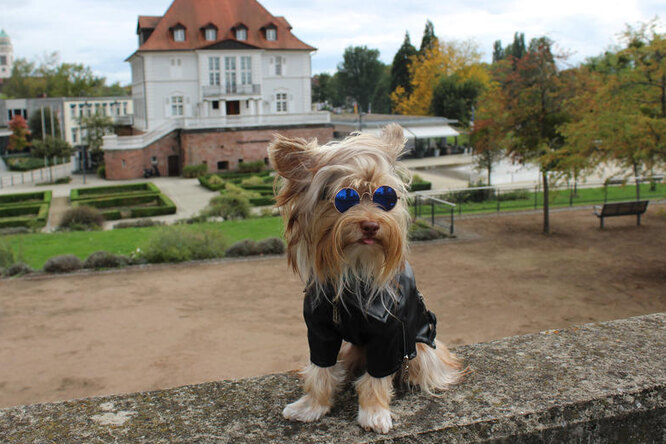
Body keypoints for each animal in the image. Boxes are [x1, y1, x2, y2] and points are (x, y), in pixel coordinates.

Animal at [268, 123, 460, 432]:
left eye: (386, 197)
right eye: (343, 199)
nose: (371, 225)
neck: (355, 268)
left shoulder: (388, 336)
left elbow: (377, 377)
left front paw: (373, 413)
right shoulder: (320, 330)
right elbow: (321, 368)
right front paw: (312, 406)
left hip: (420, 347)